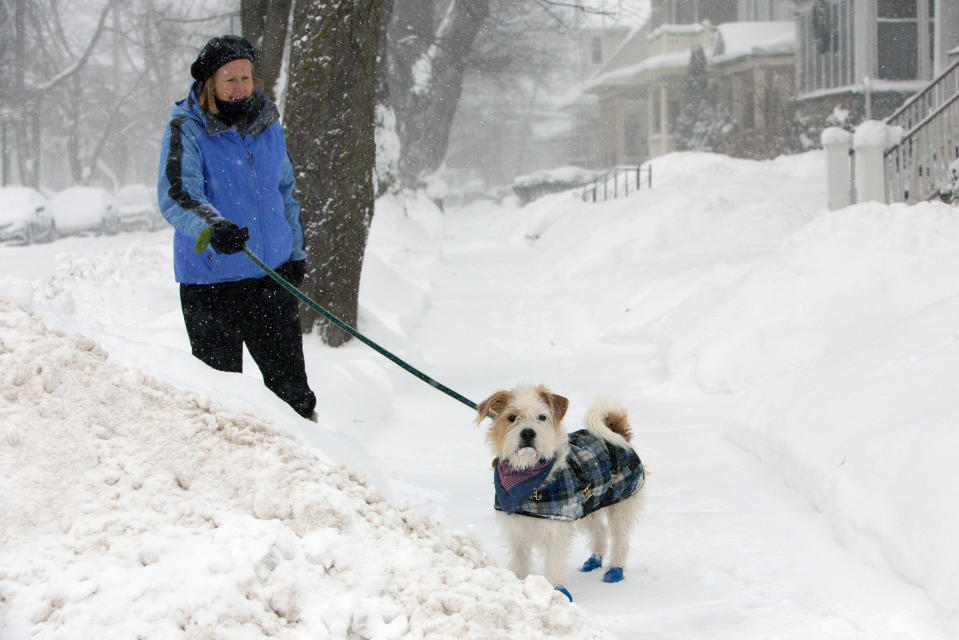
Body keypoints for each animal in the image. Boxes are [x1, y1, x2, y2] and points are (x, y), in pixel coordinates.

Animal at [478, 384, 648, 600]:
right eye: (511, 417)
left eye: (542, 417)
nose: (528, 433)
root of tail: (616, 432)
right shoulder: (517, 530)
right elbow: (519, 562)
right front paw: (517, 587)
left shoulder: (557, 529)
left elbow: (553, 563)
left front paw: (556, 592)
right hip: (587, 505)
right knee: (600, 530)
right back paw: (594, 560)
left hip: (621, 505)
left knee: (620, 540)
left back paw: (615, 570)